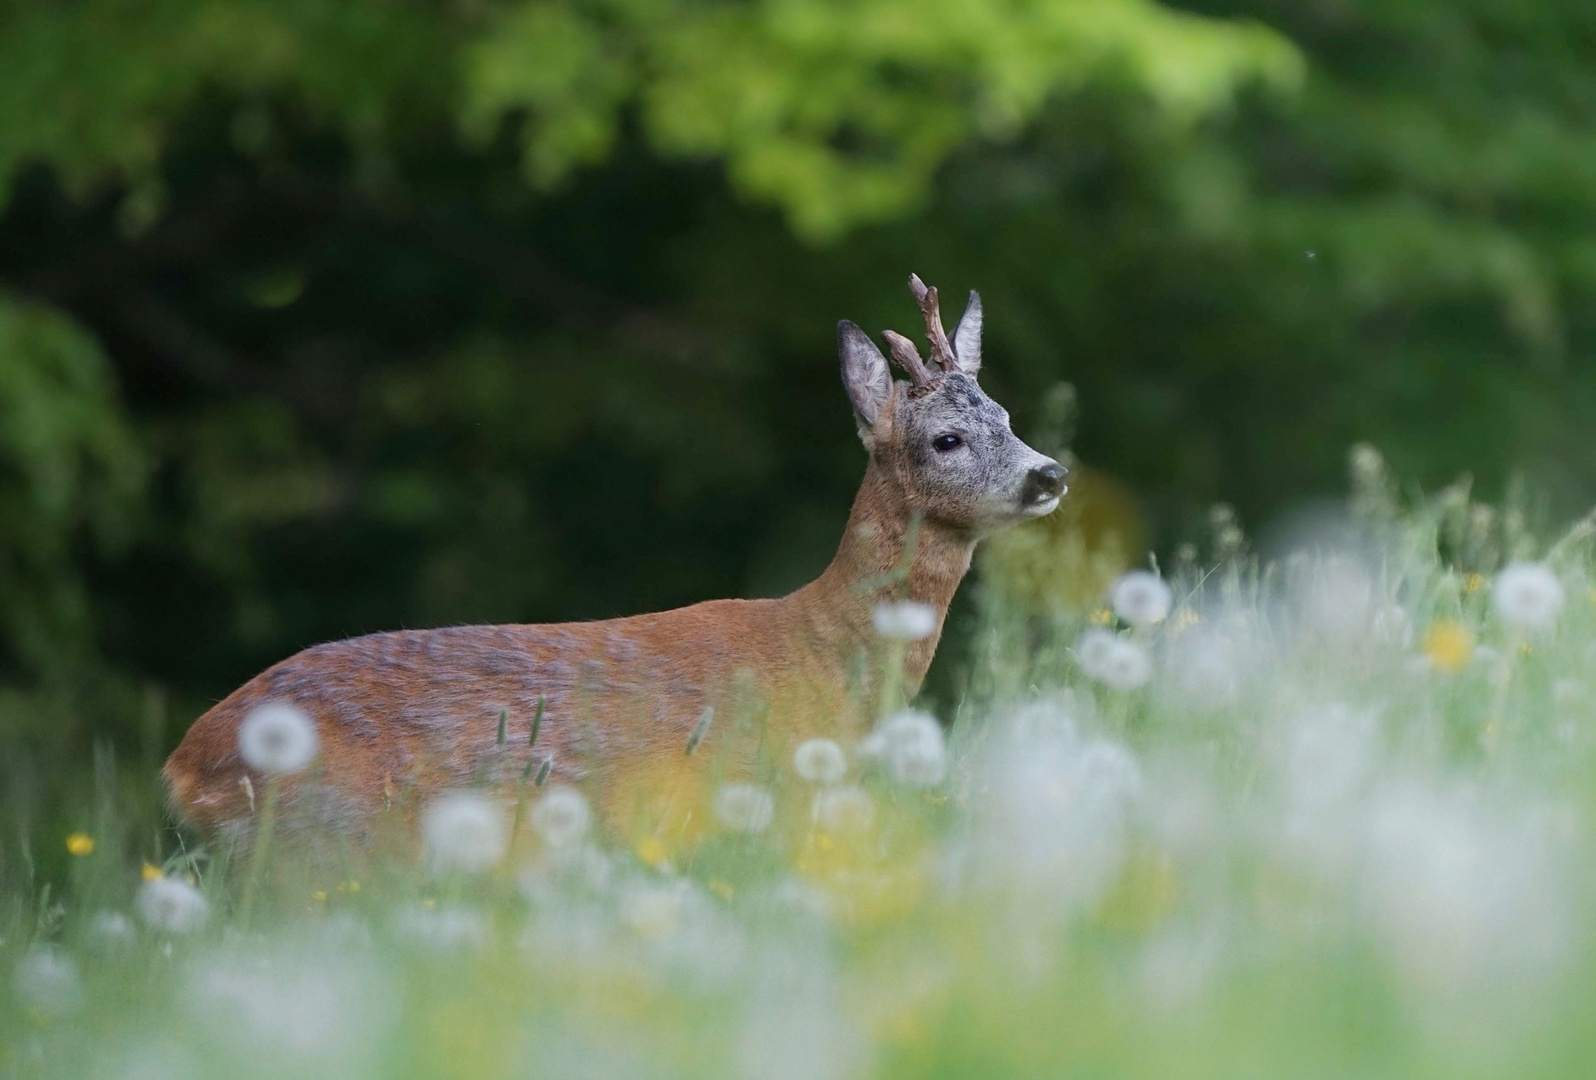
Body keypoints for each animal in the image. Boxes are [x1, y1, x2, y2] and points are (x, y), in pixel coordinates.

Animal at [161, 274, 1066, 848]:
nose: (1049, 472)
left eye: (1008, 417)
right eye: (946, 439)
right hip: (328, 842)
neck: (826, 652)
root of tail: (182, 766)